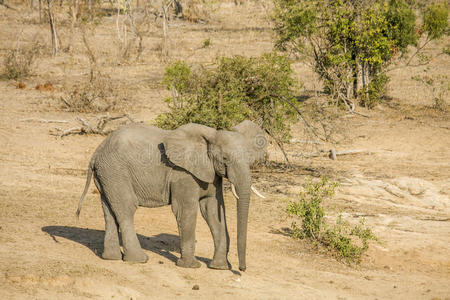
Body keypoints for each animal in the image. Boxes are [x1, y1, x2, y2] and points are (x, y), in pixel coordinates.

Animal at [76, 119, 268, 272]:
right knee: (126, 209)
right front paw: (191, 266)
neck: (210, 136)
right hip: (116, 172)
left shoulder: (212, 175)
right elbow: (186, 211)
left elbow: (212, 211)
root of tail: (96, 153)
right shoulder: (183, 174)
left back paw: (112, 258)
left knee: (110, 210)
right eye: (225, 158)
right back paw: (140, 260)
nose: (242, 269)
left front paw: (219, 267)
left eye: (250, 159)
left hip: (107, 175)